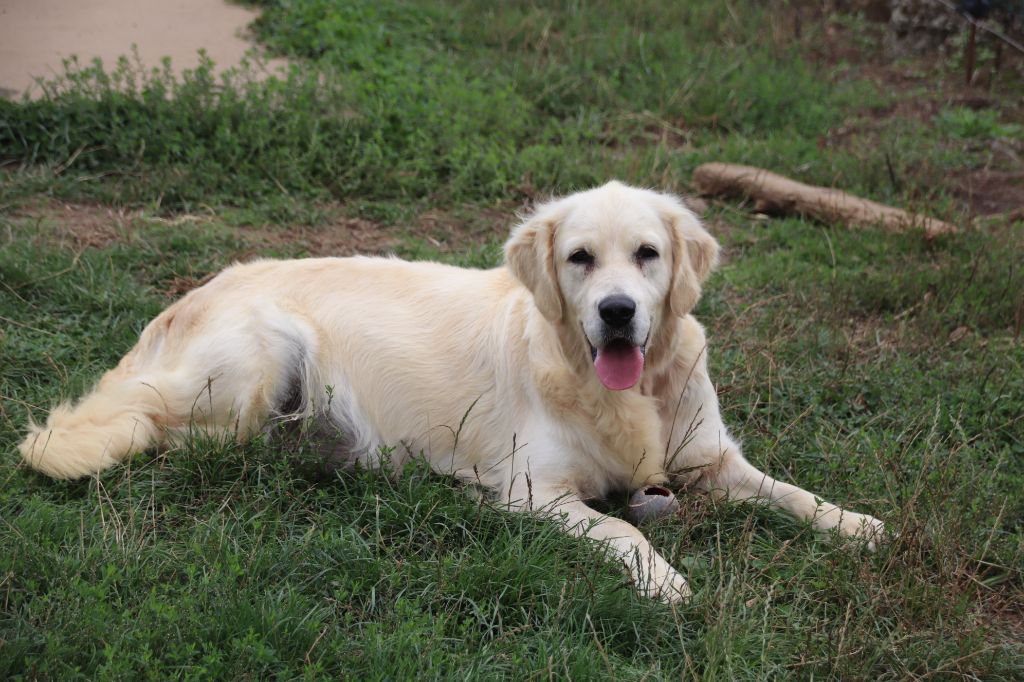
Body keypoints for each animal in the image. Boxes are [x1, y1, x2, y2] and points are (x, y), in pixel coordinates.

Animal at [18, 180, 880, 602]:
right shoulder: (539, 491)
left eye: (647, 254)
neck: (620, 391)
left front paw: (857, 524)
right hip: (259, 362)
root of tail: (189, 297)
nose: (617, 312)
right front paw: (662, 579)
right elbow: (624, 530)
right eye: (579, 258)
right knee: (183, 436)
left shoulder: (707, 458)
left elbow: (790, 491)